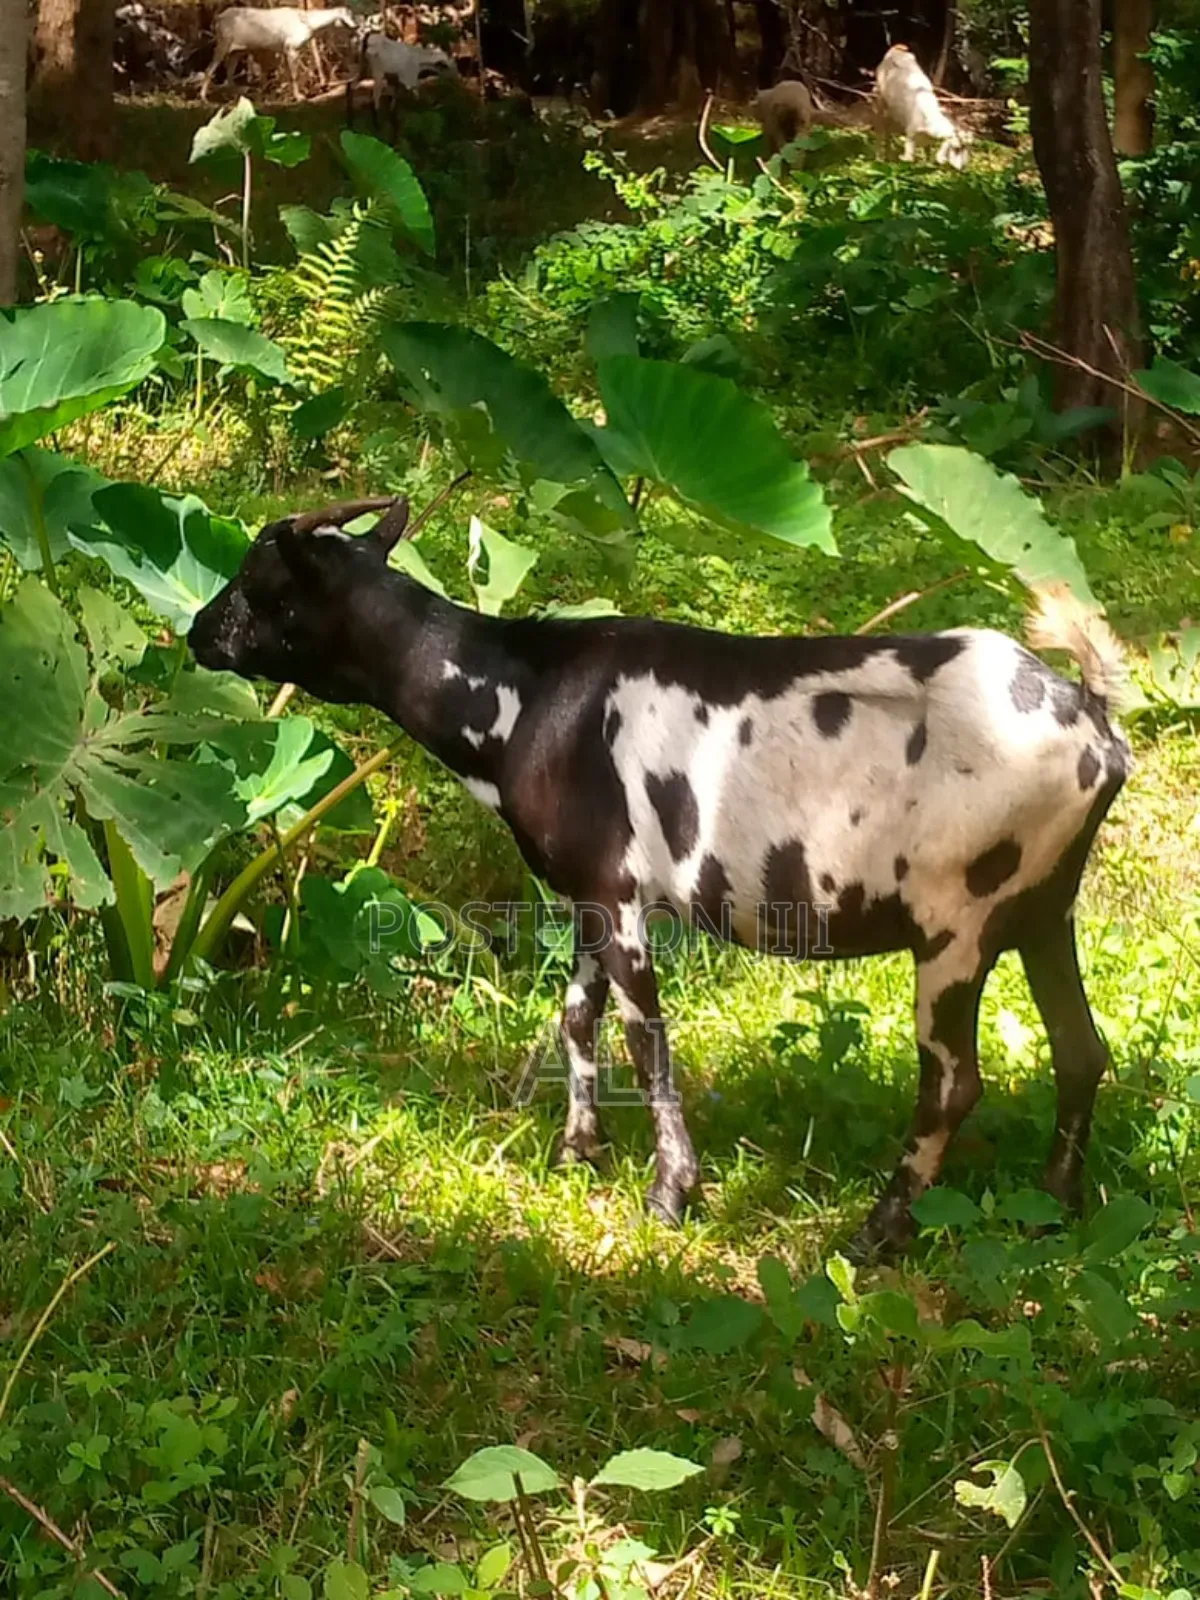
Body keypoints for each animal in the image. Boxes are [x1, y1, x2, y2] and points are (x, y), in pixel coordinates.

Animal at [189, 498, 1130, 1254]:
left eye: (255, 575)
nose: (196, 631)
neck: (523, 697)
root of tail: (1092, 720)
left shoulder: (619, 893)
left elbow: (646, 1039)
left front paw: (670, 1193)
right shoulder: (583, 896)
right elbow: (577, 1017)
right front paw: (577, 1150)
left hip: (957, 923)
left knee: (952, 1083)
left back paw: (877, 1233)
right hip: (1045, 908)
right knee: (1081, 1049)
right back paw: (1057, 1202)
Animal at [201, 6, 356, 102]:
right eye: (347, 17)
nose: (356, 27)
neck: (308, 22)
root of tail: (219, 17)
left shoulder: (285, 51)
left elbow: (289, 75)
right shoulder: (292, 49)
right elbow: (294, 75)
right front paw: (299, 97)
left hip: (237, 51)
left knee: (229, 75)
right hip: (223, 44)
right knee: (209, 70)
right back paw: (204, 98)